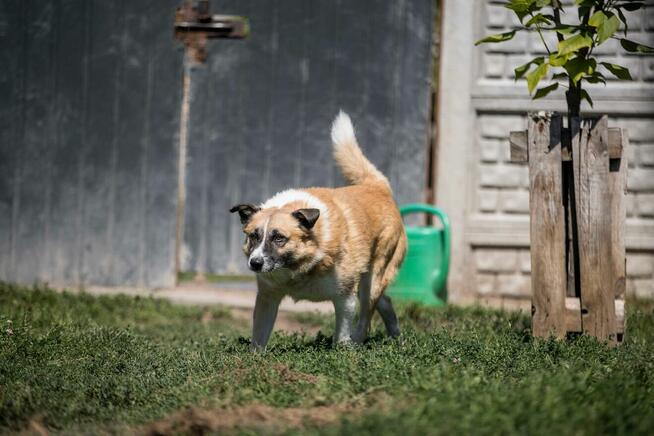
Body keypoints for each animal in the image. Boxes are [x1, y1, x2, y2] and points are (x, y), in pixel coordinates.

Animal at [229, 110, 404, 350]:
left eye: (279, 238)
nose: (255, 263)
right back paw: (396, 336)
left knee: (366, 317)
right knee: (385, 301)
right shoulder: (268, 297)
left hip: (372, 279)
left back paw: (360, 342)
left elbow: (341, 335)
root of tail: (376, 187)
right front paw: (255, 356)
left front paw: (343, 351)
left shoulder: (345, 298)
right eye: (253, 236)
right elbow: (259, 337)